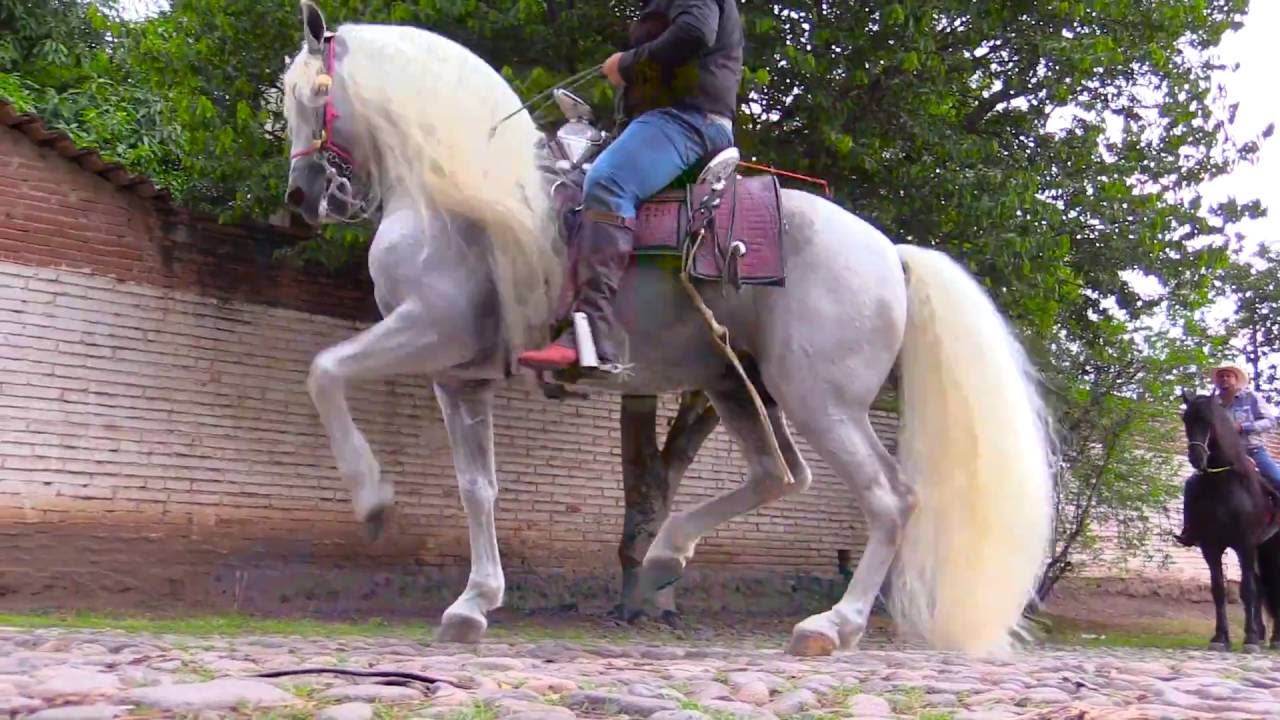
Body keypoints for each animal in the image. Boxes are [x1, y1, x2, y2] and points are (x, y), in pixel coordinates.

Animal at [278, 0, 1056, 657]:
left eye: (315, 96)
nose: (304, 197)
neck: (455, 199)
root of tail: (891, 253)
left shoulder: (428, 330)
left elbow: (324, 371)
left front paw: (372, 500)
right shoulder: (460, 376)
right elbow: (478, 488)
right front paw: (473, 604)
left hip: (818, 399)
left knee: (889, 498)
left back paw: (831, 625)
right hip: (737, 384)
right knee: (778, 475)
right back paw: (663, 559)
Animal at [1178, 390, 1280, 651]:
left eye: (1209, 421)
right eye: (1186, 419)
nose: (1196, 458)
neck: (1223, 486)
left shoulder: (1245, 544)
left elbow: (1247, 590)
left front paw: (1250, 639)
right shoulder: (1211, 547)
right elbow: (1219, 590)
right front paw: (1220, 637)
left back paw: (1274, 639)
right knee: (1263, 587)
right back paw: (1265, 635)